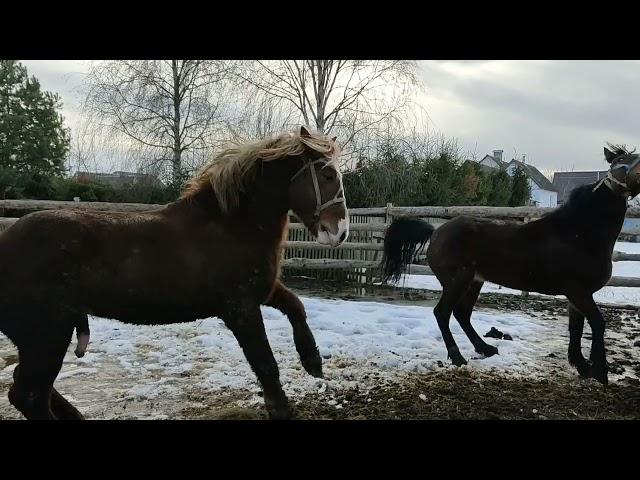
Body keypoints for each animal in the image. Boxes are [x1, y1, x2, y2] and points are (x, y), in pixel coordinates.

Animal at [0, 125, 350, 418]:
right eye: (328, 175)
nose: (339, 232)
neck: (230, 225)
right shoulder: (240, 308)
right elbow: (266, 366)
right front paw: (281, 407)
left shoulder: (262, 292)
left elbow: (296, 307)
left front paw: (312, 360)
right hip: (47, 334)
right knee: (29, 394)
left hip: (42, 336)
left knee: (33, 388)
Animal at [382, 144, 640, 384]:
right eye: (619, 161)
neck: (579, 233)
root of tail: (435, 232)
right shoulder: (578, 291)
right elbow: (597, 323)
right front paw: (600, 372)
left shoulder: (577, 296)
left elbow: (576, 328)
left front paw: (582, 366)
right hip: (457, 281)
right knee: (443, 313)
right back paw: (457, 357)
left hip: (474, 281)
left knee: (462, 314)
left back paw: (485, 348)